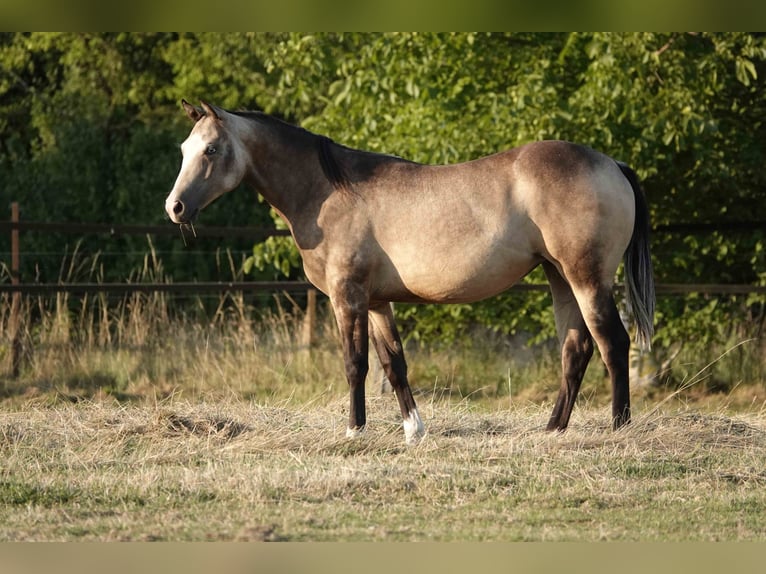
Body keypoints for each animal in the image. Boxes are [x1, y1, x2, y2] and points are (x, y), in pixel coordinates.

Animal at [165, 100, 655, 444]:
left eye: (211, 149)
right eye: (185, 149)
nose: (175, 208)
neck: (326, 191)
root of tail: (612, 164)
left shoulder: (347, 297)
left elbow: (355, 364)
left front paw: (354, 431)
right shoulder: (378, 302)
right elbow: (393, 363)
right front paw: (413, 431)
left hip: (587, 278)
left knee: (613, 344)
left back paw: (619, 428)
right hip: (559, 278)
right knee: (576, 350)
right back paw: (553, 429)